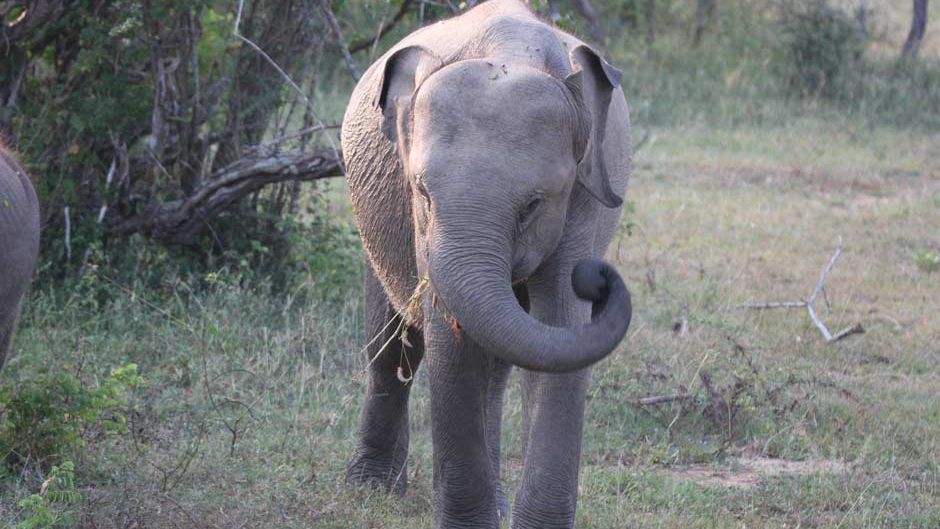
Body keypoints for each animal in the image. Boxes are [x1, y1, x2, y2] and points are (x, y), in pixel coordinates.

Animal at [340, 0, 632, 527]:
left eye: (534, 204)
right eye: (422, 193)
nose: (597, 278)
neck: (510, 51)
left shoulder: (582, 198)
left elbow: (559, 327)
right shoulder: (418, 222)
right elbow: (448, 343)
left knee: (497, 367)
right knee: (392, 348)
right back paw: (371, 487)